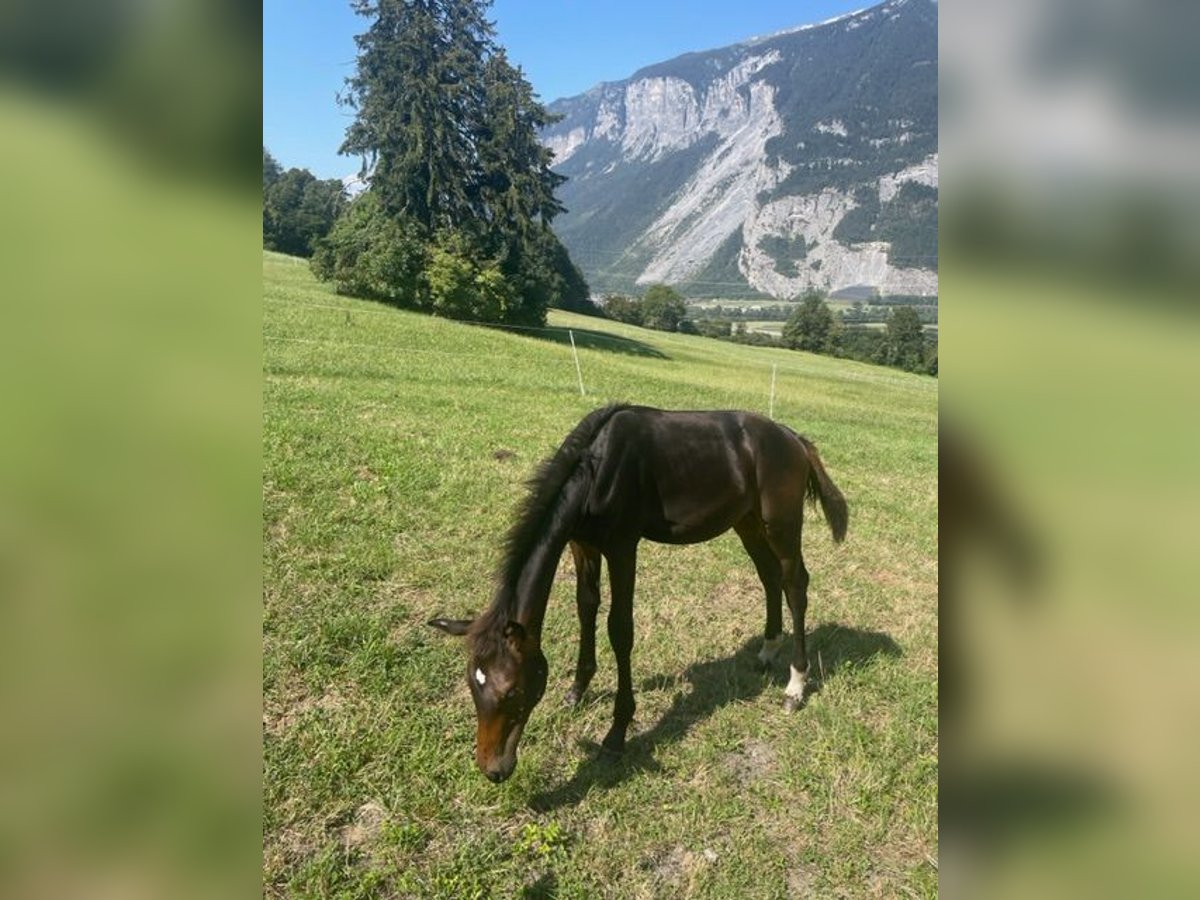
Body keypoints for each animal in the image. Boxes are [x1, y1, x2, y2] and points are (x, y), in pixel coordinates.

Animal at [429, 405, 844, 787]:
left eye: (514, 692)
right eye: (473, 685)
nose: (494, 769)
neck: (597, 468)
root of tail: (795, 440)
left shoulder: (622, 547)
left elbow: (620, 629)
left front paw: (616, 734)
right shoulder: (583, 542)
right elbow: (586, 607)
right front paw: (577, 690)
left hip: (781, 524)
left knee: (795, 584)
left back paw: (795, 685)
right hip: (747, 522)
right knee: (769, 577)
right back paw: (767, 651)